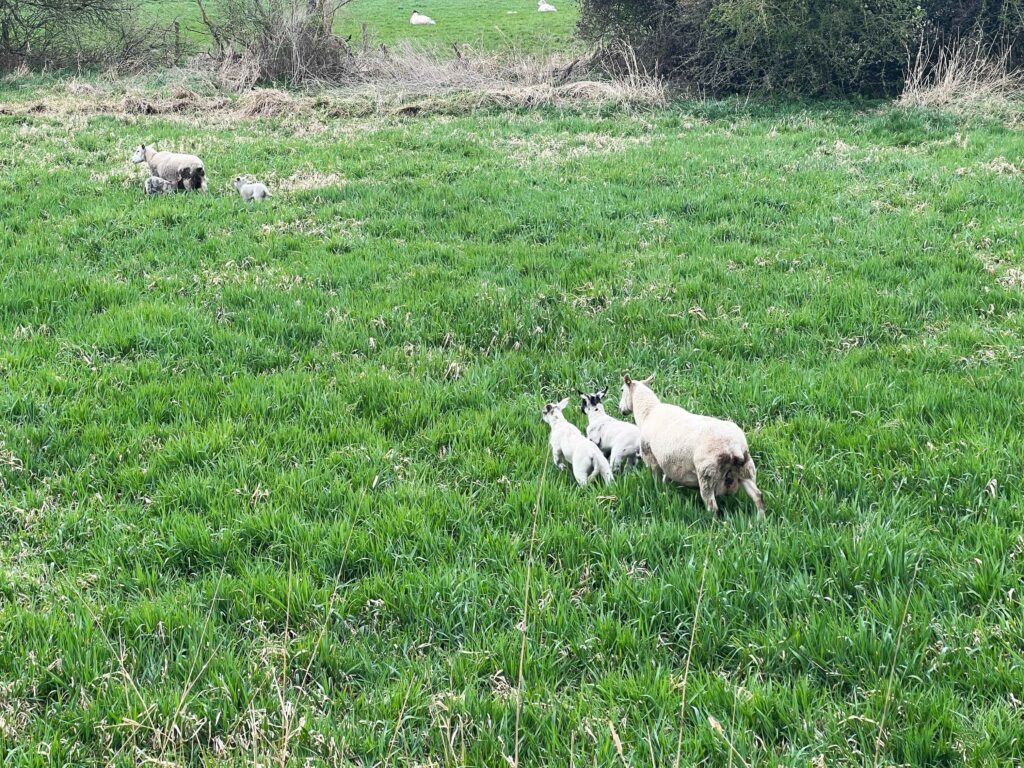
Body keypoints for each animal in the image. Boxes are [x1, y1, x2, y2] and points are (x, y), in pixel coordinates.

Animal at [619, 373, 764, 515]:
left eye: (621, 390)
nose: (621, 409)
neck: (648, 411)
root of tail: (733, 447)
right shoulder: (668, 461)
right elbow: (667, 477)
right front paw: (666, 488)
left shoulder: (652, 458)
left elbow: (657, 480)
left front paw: (659, 492)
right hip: (746, 469)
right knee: (758, 496)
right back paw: (760, 519)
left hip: (707, 475)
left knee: (712, 507)